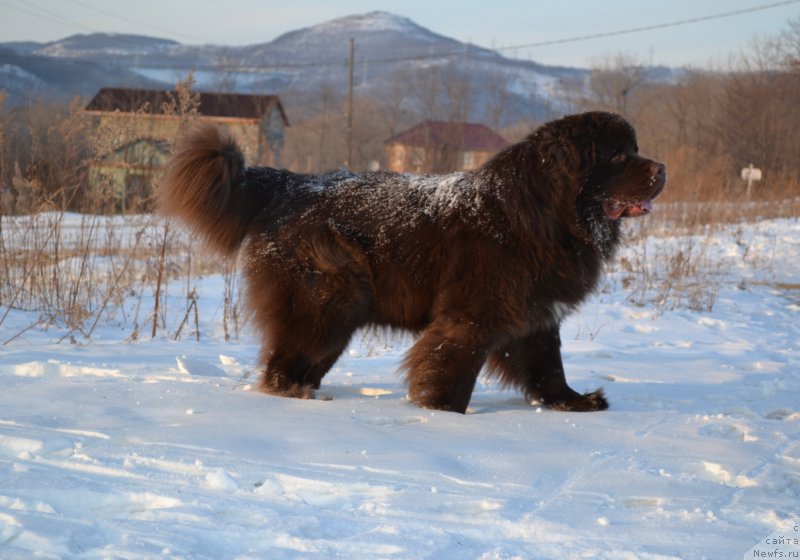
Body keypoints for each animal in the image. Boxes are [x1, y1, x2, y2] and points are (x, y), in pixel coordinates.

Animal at [159, 111, 664, 414]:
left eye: (636, 149)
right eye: (620, 154)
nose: (662, 170)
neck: (545, 211)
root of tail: (287, 183)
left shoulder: (536, 313)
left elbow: (548, 366)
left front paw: (573, 402)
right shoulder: (470, 317)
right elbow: (452, 368)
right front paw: (442, 415)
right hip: (328, 301)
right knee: (284, 364)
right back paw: (302, 399)